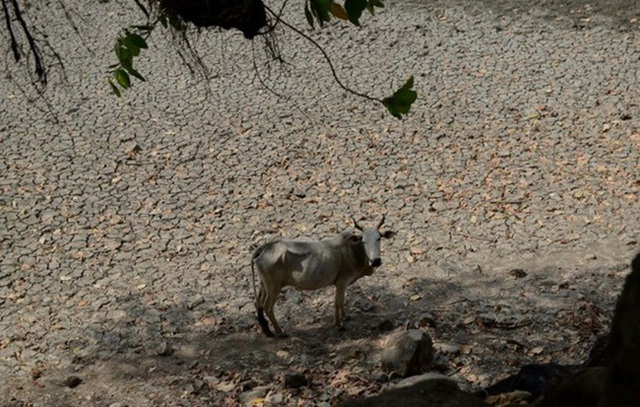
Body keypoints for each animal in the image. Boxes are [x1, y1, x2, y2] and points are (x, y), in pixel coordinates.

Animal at [251, 217, 396, 338]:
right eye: (364, 241)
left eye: (379, 239)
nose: (375, 261)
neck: (353, 251)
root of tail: (264, 248)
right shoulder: (342, 282)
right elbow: (337, 302)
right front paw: (338, 324)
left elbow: (342, 301)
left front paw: (345, 317)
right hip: (274, 287)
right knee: (267, 307)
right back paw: (280, 332)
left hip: (264, 284)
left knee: (258, 303)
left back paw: (267, 331)